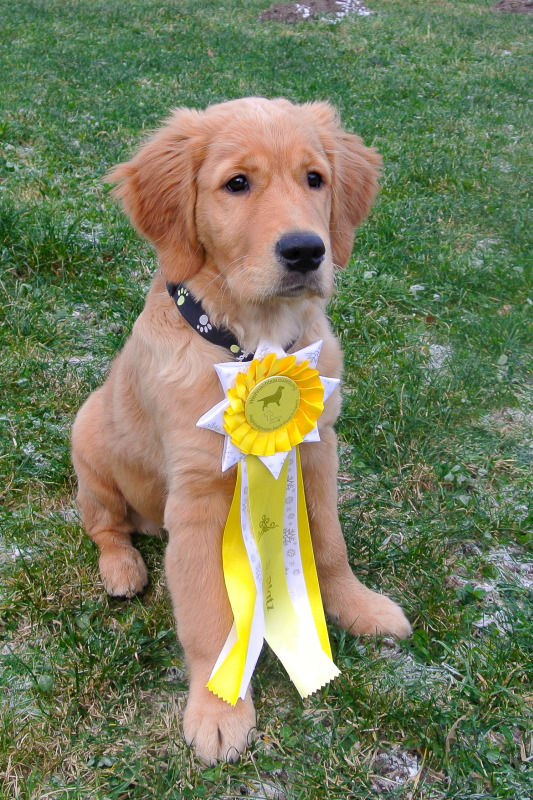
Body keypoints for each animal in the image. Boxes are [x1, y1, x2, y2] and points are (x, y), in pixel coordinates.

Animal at [71, 97, 412, 765]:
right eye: (236, 184)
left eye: (315, 179)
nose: (306, 251)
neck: (256, 344)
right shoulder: (199, 500)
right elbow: (209, 614)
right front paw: (218, 709)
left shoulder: (317, 454)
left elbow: (328, 547)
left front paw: (355, 606)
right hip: (89, 445)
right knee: (103, 525)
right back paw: (122, 569)